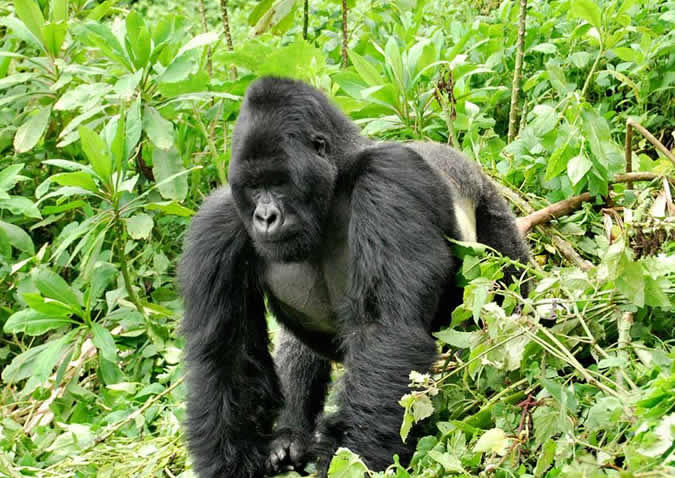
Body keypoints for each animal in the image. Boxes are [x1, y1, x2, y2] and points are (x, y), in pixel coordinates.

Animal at [181, 77, 532, 478]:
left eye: (280, 183)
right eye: (254, 188)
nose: (265, 217)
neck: (335, 181)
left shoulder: (388, 177)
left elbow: (384, 330)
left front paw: (355, 455)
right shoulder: (217, 223)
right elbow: (229, 358)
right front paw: (232, 462)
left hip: (486, 198)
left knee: (507, 280)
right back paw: (291, 433)